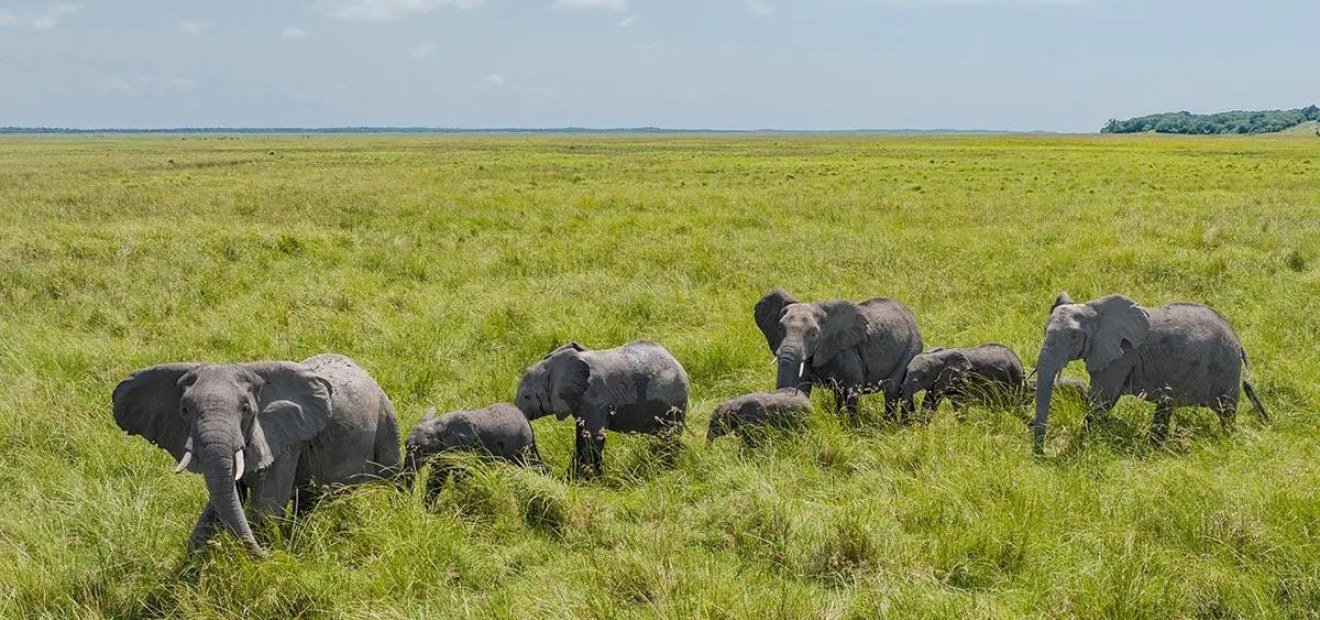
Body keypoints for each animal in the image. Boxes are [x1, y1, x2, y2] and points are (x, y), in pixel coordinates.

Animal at [112, 354, 400, 556]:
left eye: (245, 409)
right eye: (184, 410)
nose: (269, 554)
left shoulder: (284, 443)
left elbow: (265, 509)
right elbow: (225, 501)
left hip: (386, 420)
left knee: (392, 476)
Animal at [514, 341, 689, 476]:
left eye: (527, 396)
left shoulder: (593, 399)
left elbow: (593, 438)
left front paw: (587, 479)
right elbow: (581, 436)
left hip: (673, 400)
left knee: (669, 434)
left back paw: (665, 466)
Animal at [754, 289, 923, 420]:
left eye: (814, 334)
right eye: (780, 329)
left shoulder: (844, 351)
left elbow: (854, 386)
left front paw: (850, 427)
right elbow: (798, 385)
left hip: (911, 349)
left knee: (891, 390)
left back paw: (889, 424)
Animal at [1031, 293, 1268, 454]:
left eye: (1073, 337)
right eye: (1043, 330)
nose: (1041, 455)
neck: (1094, 310)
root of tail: (1238, 342)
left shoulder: (1120, 355)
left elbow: (1101, 401)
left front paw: (1082, 444)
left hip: (1225, 368)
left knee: (1226, 412)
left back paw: (1227, 443)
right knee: (1166, 406)